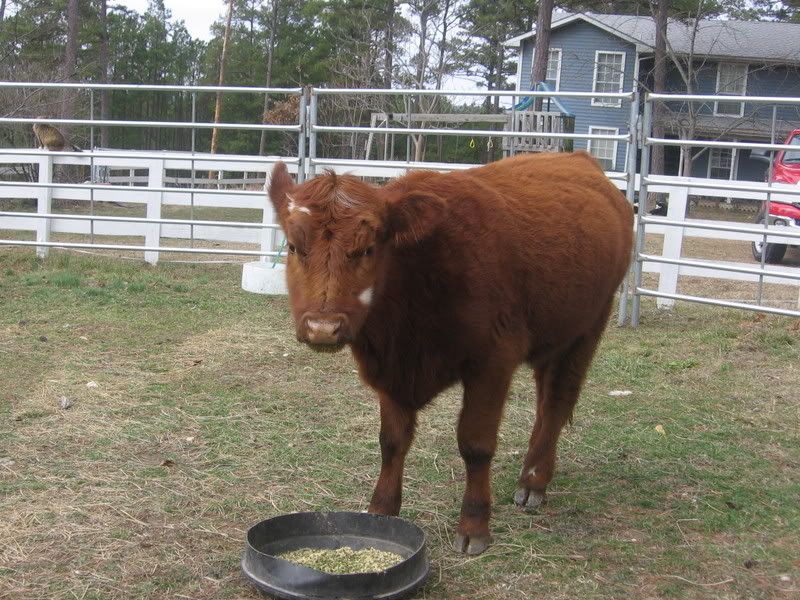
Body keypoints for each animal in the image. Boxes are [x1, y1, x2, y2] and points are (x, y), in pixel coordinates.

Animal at [268, 152, 633, 555]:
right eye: (293, 247)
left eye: (368, 249)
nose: (323, 327)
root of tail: (578, 158)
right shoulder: (392, 372)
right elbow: (391, 442)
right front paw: (381, 512)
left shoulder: (492, 363)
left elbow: (476, 445)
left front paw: (474, 524)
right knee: (545, 402)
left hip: (587, 328)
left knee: (557, 402)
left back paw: (534, 480)